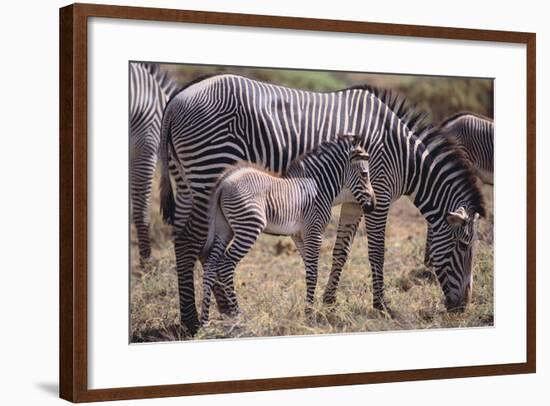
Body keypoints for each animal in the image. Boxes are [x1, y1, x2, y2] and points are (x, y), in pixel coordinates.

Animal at [201, 135, 378, 326]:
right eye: (365, 174)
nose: (372, 206)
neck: (319, 187)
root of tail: (225, 182)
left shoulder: (298, 236)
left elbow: (310, 270)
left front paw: (309, 309)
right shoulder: (314, 232)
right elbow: (313, 272)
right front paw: (309, 314)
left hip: (224, 229)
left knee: (211, 264)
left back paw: (204, 319)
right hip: (249, 227)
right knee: (226, 265)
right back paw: (237, 314)